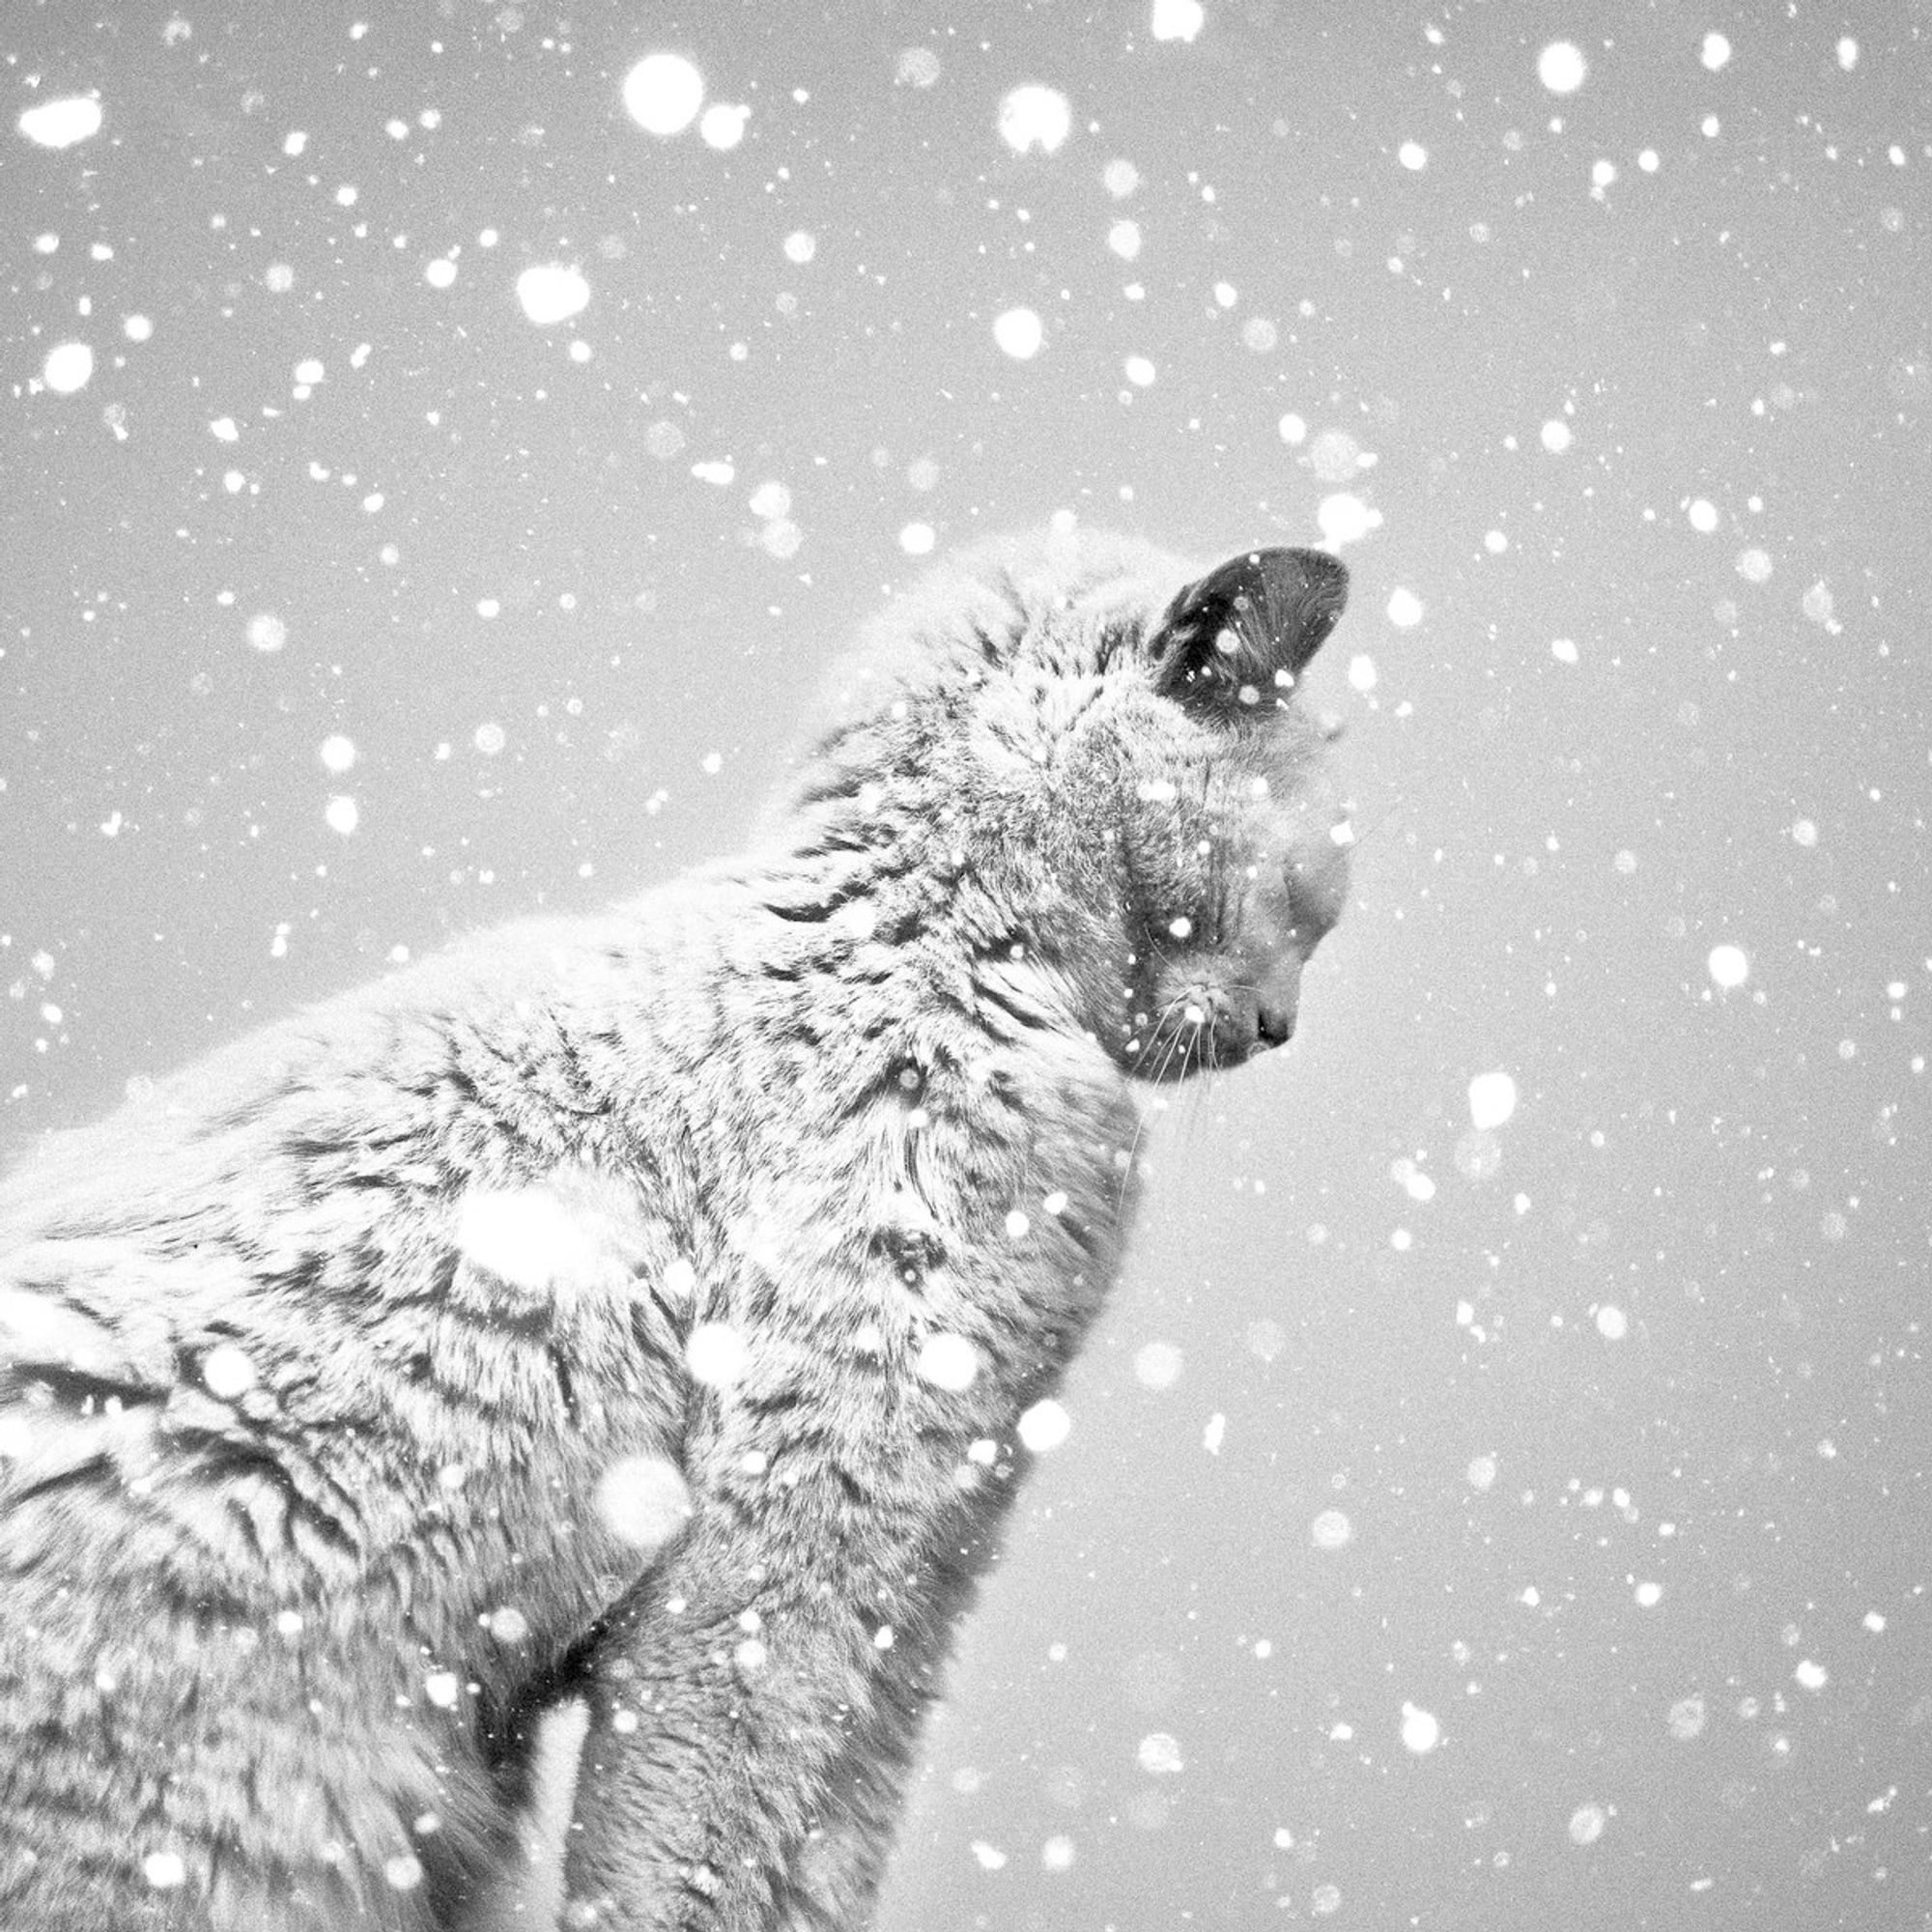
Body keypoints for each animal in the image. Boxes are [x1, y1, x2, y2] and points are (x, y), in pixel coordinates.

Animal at [3, 522, 1360, 1924]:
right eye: (1298, 893)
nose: (1282, 1023)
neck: (940, 956)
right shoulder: (802, 1526)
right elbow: (694, 1847)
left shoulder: (922, 1581)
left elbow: (821, 1851)